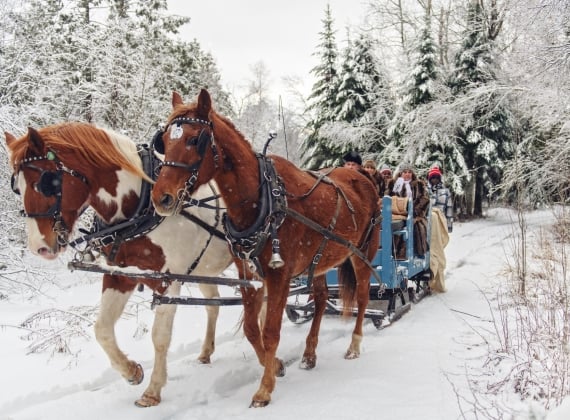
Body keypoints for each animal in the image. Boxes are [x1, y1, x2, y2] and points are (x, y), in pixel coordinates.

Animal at [4, 123, 231, 408]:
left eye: (45, 183)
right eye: (17, 187)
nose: (39, 247)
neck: (140, 208)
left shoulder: (167, 281)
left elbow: (160, 336)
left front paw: (153, 390)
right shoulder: (120, 276)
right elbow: (101, 329)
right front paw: (131, 371)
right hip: (204, 271)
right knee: (214, 303)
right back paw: (206, 351)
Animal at [151, 89, 380, 406]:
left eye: (194, 139)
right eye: (164, 140)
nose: (161, 198)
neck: (262, 201)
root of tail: (363, 175)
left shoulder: (279, 275)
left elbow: (271, 331)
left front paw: (265, 388)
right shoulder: (249, 274)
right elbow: (251, 329)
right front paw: (277, 366)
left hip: (363, 253)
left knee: (361, 297)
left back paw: (354, 345)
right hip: (320, 260)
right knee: (321, 300)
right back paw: (309, 353)